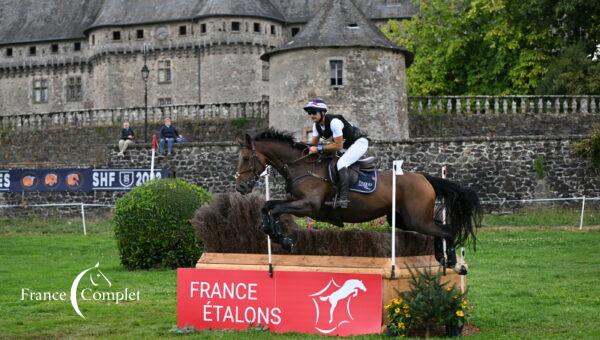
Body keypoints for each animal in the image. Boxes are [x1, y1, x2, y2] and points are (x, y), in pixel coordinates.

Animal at [234, 129, 482, 268]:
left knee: (446, 230)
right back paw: (442, 258)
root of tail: (424, 178)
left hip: (416, 219)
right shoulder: (296, 203)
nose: (240, 187)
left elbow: (275, 210)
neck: (302, 167)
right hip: (405, 219)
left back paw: (453, 262)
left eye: (246, 158)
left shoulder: (309, 207)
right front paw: (274, 234)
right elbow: (267, 207)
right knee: (440, 227)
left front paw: (284, 239)